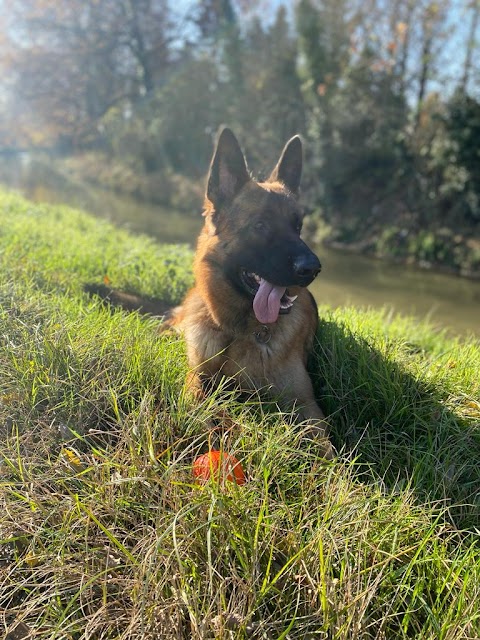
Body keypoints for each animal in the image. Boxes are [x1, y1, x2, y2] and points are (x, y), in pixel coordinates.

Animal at [167, 130, 332, 458]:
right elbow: (194, 396)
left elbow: (323, 442)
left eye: (298, 226)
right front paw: (207, 425)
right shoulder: (196, 373)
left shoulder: (305, 402)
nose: (313, 268)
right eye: (260, 224)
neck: (239, 332)